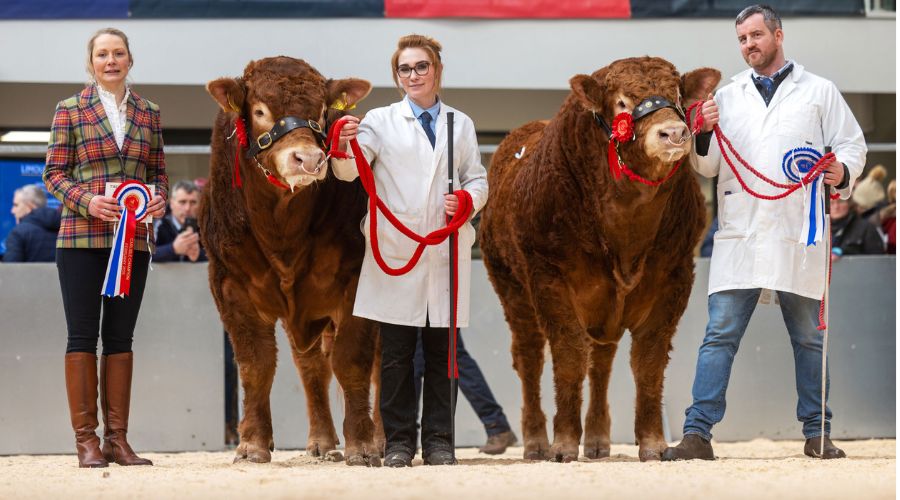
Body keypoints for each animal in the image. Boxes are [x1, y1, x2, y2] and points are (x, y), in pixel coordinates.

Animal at [199, 56, 382, 466]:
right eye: (260, 111)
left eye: (322, 112)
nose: (308, 158)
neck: (282, 228)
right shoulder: (229, 284)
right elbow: (256, 365)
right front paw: (252, 443)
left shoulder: (356, 281)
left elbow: (353, 360)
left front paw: (362, 446)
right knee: (311, 366)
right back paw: (322, 440)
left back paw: (380, 438)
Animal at [482, 57, 720, 460]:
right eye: (622, 102)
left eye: (676, 94)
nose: (673, 132)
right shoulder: (550, 279)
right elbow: (568, 358)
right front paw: (563, 442)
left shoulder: (674, 278)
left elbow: (648, 362)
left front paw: (653, 442)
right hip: (512, 288)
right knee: (530, 357)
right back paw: (536, 441)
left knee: (601, 359)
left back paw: (596, 438)